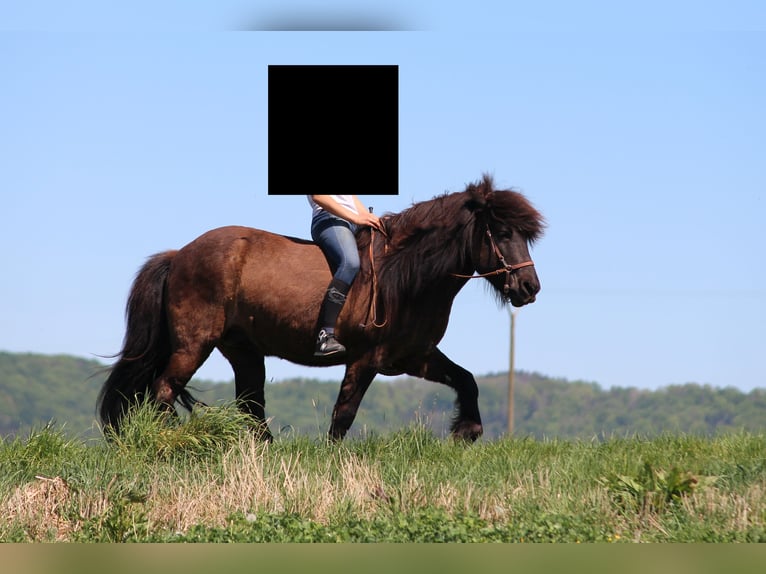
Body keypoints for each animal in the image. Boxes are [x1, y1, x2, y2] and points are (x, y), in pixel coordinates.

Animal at [98, 174, 545, 442]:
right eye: (503, 232)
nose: (530, 288)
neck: (405, 275)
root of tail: (179, 255)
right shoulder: (366, 359)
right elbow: (343, 414)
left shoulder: (414, 356)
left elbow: (466, 379)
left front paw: (467, 430)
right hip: (194, 345)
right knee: (163, 390)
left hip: (243, 350)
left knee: (250, 405)